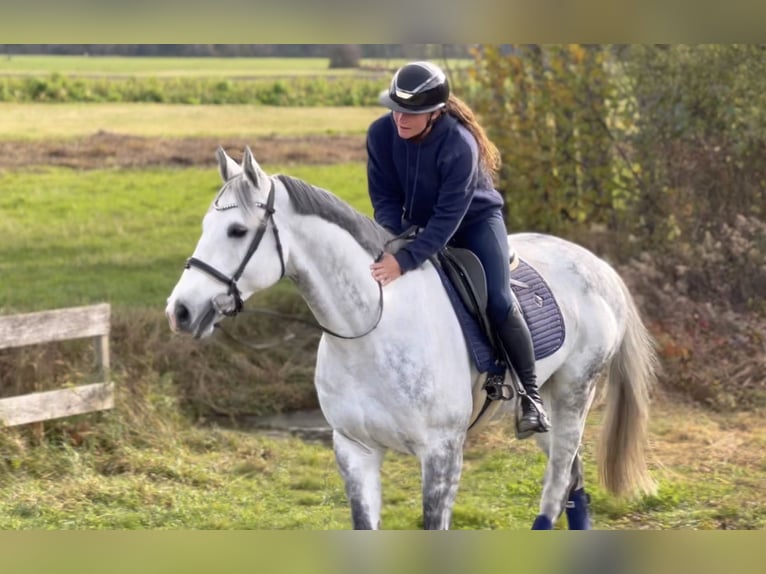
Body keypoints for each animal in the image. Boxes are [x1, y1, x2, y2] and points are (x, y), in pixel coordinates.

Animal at [168, 147, 660, 532]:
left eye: (237, 231)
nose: (180, 311)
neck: (372, 331)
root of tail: (599, 267)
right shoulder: (355, 450)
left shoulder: (441, 455)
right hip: (550, 412)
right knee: (573, 477)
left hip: (575, 394)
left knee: (557, 483)